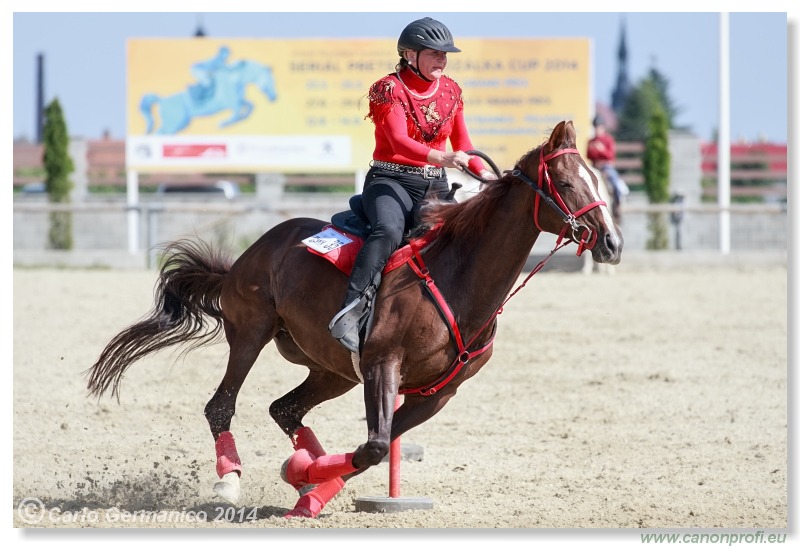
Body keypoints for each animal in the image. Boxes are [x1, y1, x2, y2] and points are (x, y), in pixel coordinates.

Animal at [87, 122, 624, 520]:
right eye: (568, 183)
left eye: (598, 179)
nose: (613, 243)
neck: (458, 274)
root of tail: (249, 254)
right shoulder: (383, 365)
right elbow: (375, 446)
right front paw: (302, 478)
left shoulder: (437, 393)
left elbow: (376, 449)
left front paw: (307, 485)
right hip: (252, 334)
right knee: (221, 406)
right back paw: (230, 481)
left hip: (332, 370)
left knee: (285, 409)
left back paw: (303, 471)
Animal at [142, 59, 280, 135]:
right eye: (271, 81)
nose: (274, 98)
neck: (235, 80)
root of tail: (161, 100)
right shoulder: (232, 104)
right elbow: (237, 112)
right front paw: (224, 123)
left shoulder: (238, 101)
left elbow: (250, 105)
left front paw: (243, 117)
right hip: (174, 123)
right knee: (160, 133)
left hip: (180, 123)